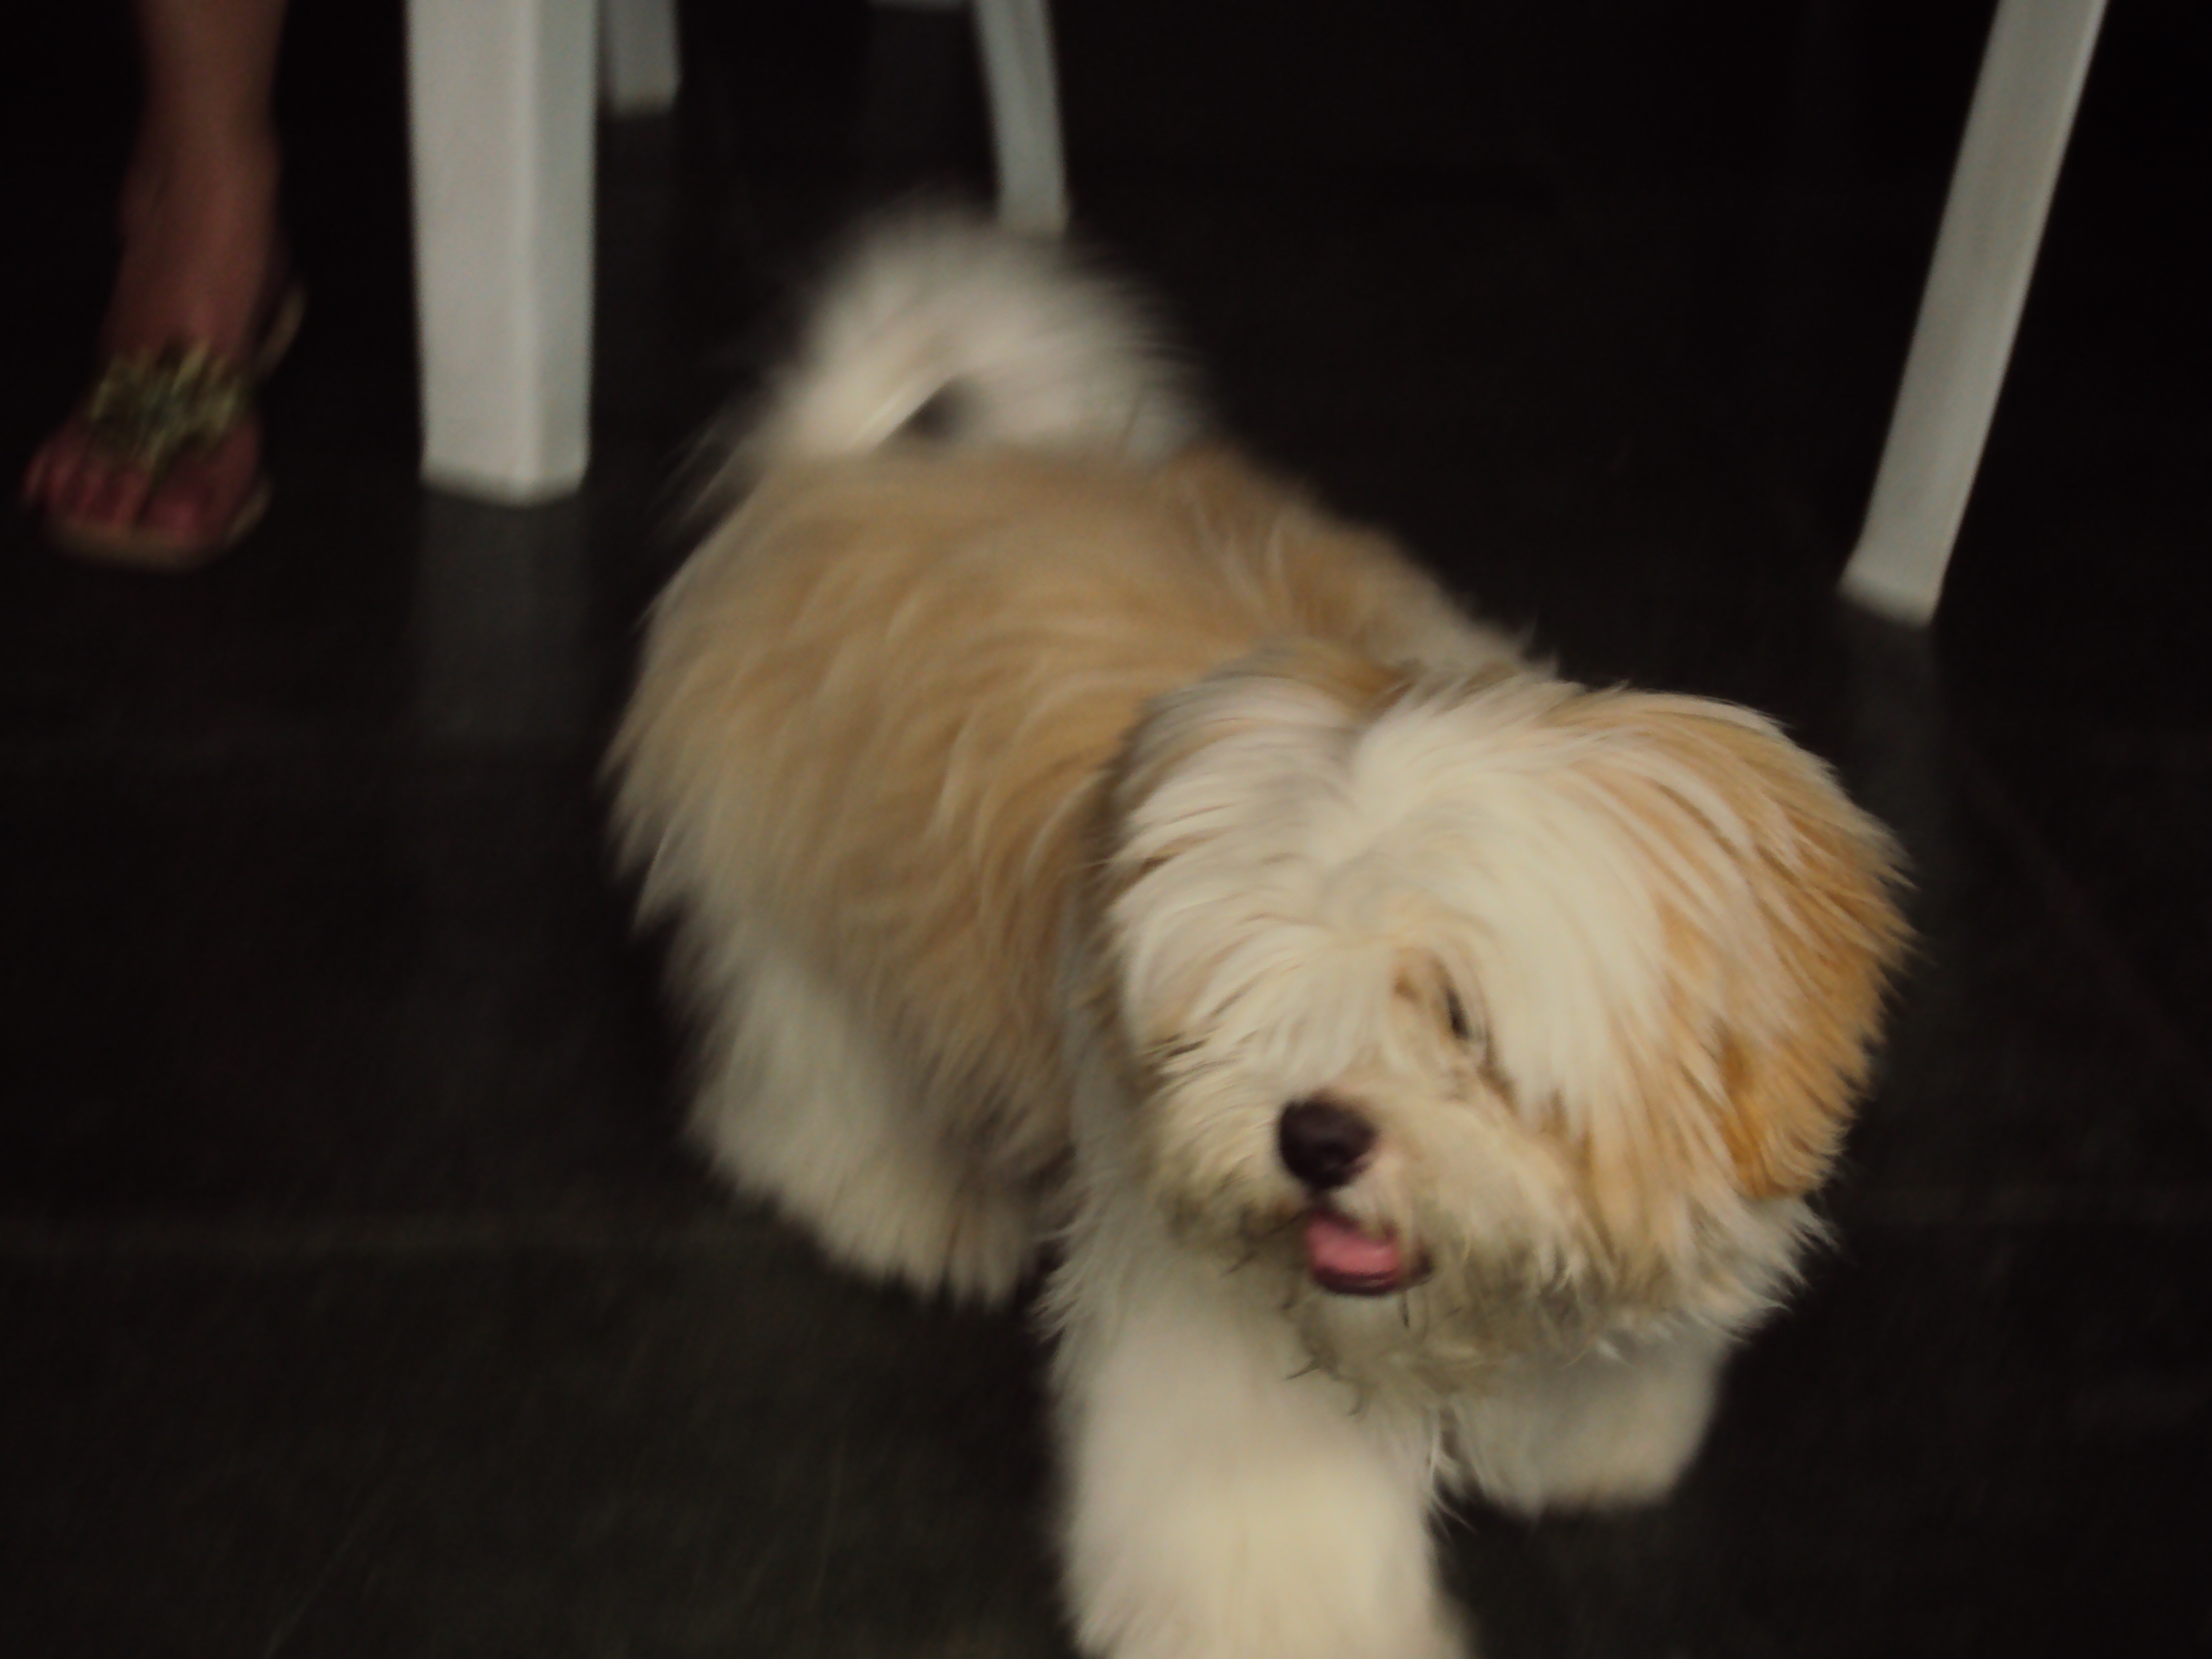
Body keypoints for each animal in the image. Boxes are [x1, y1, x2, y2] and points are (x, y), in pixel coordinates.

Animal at [611, 214, 1908, 1659]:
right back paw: (898, 1202)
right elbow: (1260, 1515)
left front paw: (1579, 1442)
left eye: (1457, 1016)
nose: (1317, 1138)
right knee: (805, 1076)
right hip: (800, 897)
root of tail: (845, 464)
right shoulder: (1216, 1333)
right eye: (1244, 1011)